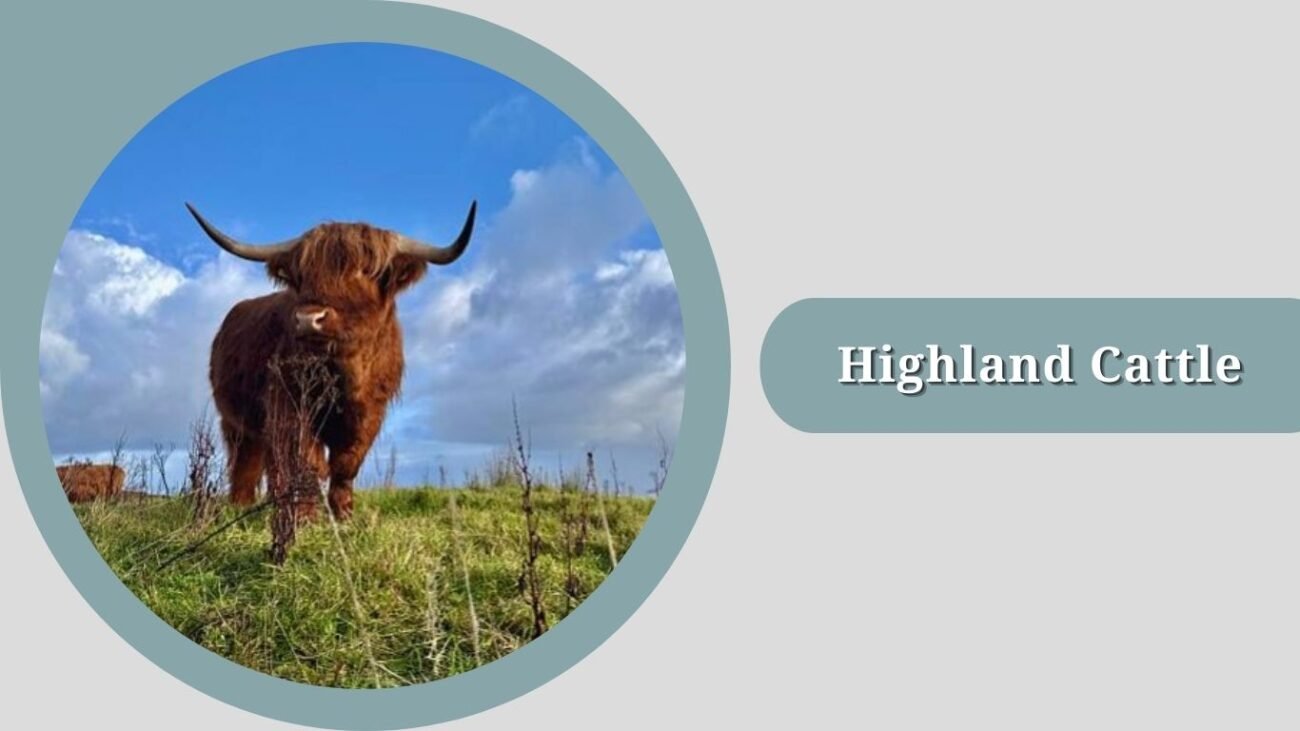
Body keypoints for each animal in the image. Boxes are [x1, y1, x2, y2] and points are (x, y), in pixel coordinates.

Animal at [186, 201, 476, 522]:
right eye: (302, 274)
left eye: (365, 270)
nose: (308, 319)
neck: (348, 373)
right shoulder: (289, 406)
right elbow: (306, 460)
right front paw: (305, 519)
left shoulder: (370, 414)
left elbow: (346, 464)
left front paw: (344, 516)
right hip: (235, 422)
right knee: (245, 463)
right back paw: (241, 506)